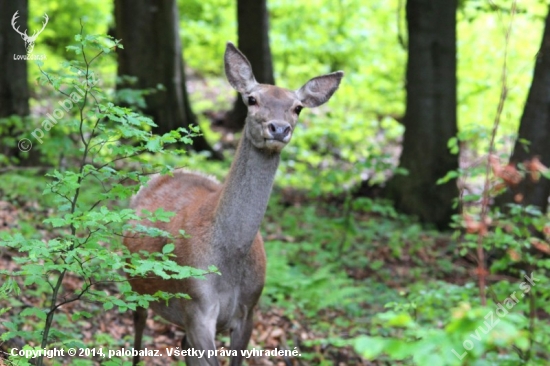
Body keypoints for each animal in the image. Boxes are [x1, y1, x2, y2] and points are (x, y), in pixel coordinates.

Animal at [124, 41, 344, 364]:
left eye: (298, 107)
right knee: (138, 335)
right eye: (252, 99)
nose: (279, 128)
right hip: (133, 283)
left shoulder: (248, 311)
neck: (229, 260)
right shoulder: (197, 306)